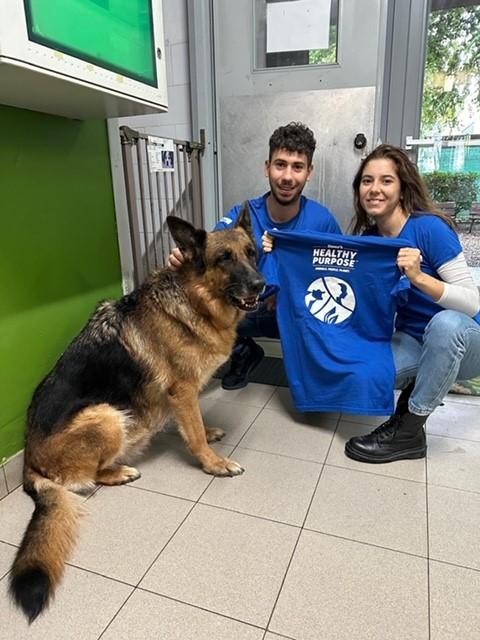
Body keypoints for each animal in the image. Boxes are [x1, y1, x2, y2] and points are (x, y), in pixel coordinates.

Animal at [9, 205, 264, 620]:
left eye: (252, 253)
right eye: (224, 259)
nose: (261, 285)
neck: (194, 300)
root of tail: (29, 461)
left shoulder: (183, 396)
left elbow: (194, 424)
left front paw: (209, 433)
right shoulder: (182, 391)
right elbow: (193, 432)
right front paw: (214, 462)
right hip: (108, 416)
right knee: (86, 477)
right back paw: (119, 471)